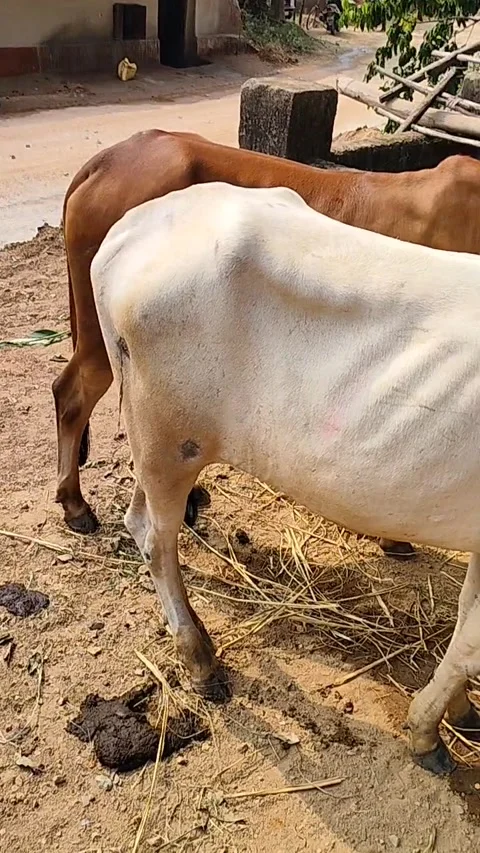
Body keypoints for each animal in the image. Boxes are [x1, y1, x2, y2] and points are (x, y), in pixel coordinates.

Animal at [91, 182, 480, 776]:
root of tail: (134, 226)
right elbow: (471, 645)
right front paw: (426, 731)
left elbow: (464, 626)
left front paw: (456, 710)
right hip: (169, 439)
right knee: (158, 542)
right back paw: (200, 660)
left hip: (151, 437)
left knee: (138, 521)